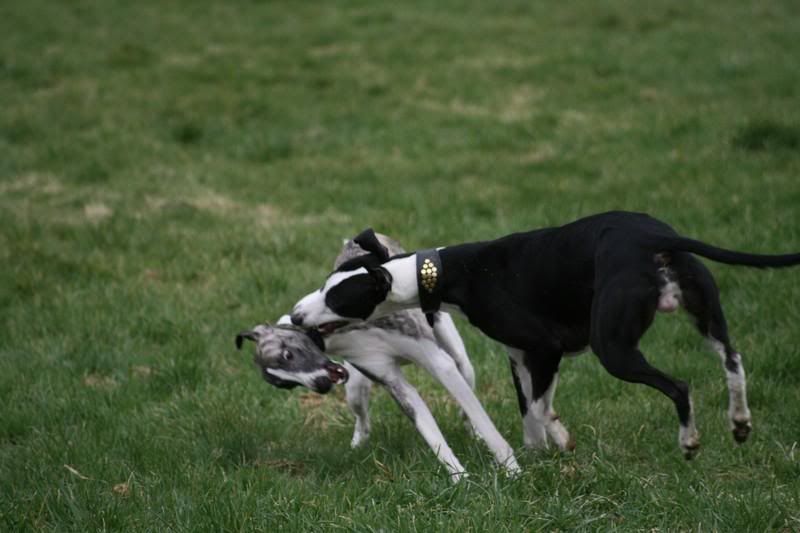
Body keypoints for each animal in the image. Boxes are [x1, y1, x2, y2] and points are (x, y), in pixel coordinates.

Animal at [234, 233, 520, 478]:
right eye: (285, 385)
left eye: (287, 355)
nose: (321, 385)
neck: (337, 332)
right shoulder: (394, 382)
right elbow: (430, 433)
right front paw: (458, 476)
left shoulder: (439, 362)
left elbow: (469, 408)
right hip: (355, 389)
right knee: (362, 418)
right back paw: (358, 442)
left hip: (457, 355)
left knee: (467, 395)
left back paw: (474, 432)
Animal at [290, 212, 796, 458]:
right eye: (325, 282)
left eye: (337, 297)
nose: (295, 316)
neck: (443, 271)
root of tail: (655, 238)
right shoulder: (522, 356)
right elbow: (535, 404)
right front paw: (543, 447)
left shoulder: (545, 348)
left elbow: (536, 407)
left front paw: (545, 444)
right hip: (706, 315)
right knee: (732, 358)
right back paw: (740, 420)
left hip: (614, 348)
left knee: (680, 386)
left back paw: (689, 440)